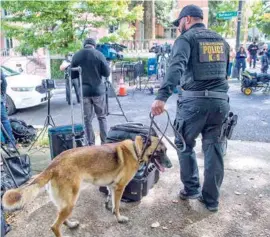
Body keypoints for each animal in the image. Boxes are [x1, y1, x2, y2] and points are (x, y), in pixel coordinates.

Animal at [2, 135, 171, 237]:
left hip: (65, 202)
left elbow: (111, 201)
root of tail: (53, 164)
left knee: (61, 218)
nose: (170, 165)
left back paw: (71, 224)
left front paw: (109, 208)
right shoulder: (119, 187)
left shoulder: (111, 187)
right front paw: (118, 218)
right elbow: (117, 206)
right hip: (71, 200)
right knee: (55, 226)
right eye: (159, 151)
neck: (136, 150)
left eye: (166, 150)